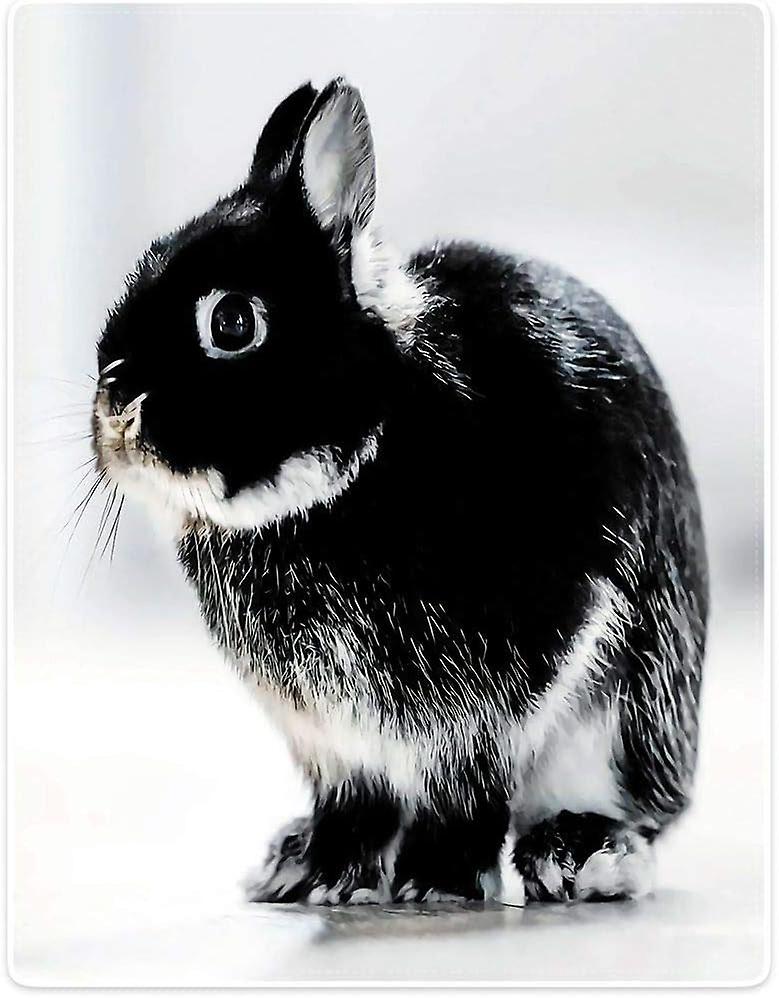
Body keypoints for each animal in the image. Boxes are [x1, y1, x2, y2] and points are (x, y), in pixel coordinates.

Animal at [92, 78, 708, 906]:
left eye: (232, 322)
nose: (115, 404)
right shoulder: (331, 740)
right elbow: (356, 803)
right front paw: (324, 875)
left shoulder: (495, 695)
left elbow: (464, 787)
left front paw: (435, 883)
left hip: (626, 720)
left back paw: (579, 856)